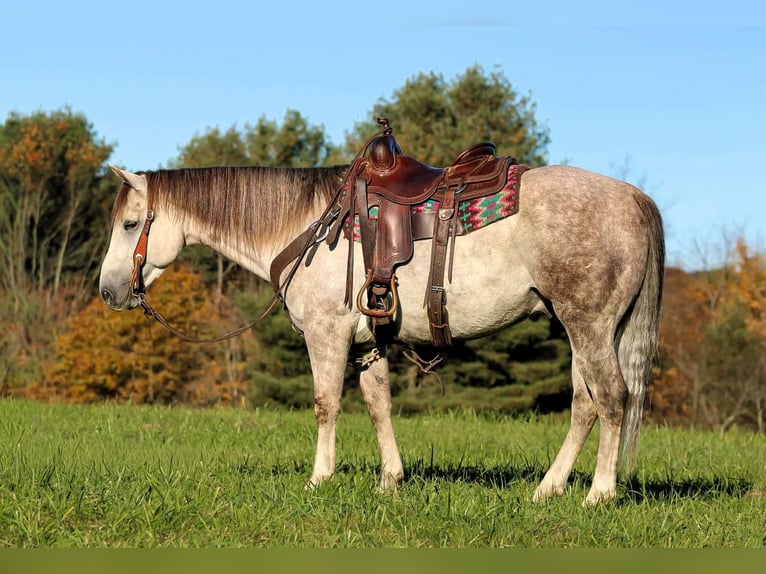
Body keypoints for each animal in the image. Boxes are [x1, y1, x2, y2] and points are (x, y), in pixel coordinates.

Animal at [99, 160, 664, 506]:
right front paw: (390, 482)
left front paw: (319, 479)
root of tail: (634, 198)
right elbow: (378, 405)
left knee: (612, 397)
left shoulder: (326, 335)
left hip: (589, 325)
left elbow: (326, 403)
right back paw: (549, 489)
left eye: (129, 225)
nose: (107, 291)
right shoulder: (369, 343)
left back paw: (599, 494)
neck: (308, 227)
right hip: (584, 328)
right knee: (585, 404)